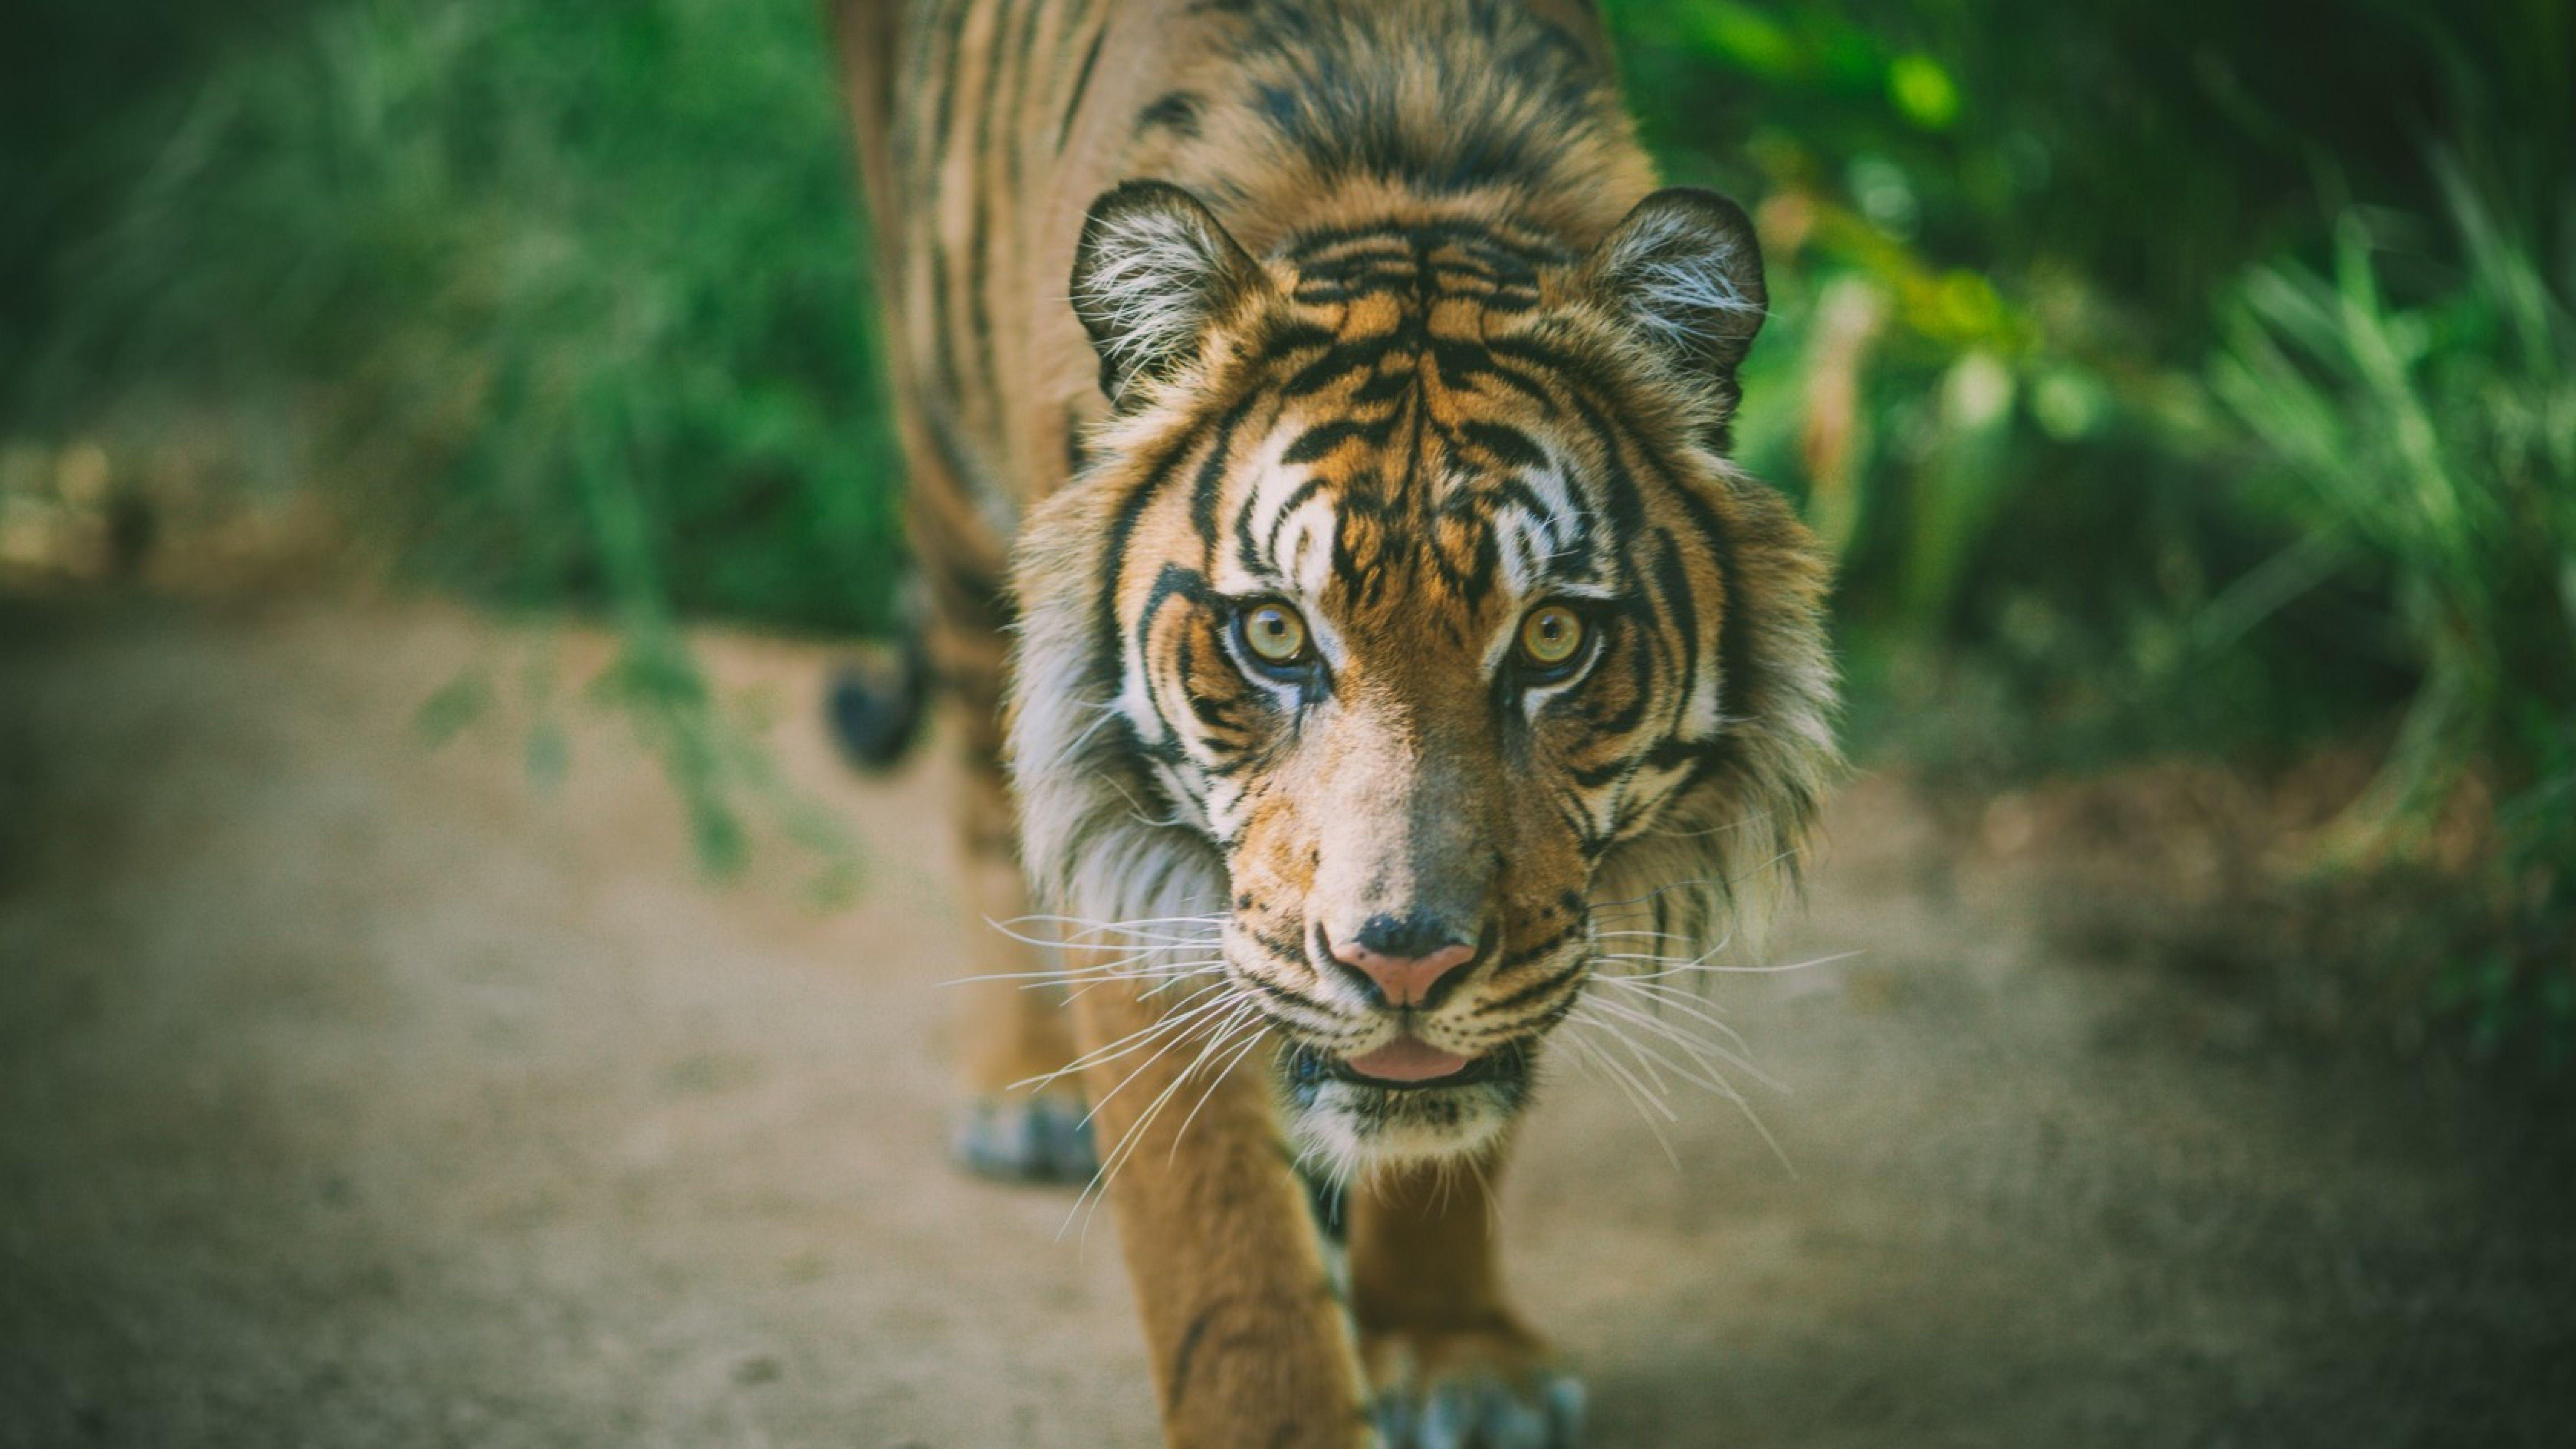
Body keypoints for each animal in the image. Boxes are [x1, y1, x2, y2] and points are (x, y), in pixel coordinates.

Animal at [823, 2, 1839, 1445]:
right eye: (1274, 634)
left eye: (1551, 638)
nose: (1403, 962)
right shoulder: (1145, 885)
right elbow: (1226, 1254)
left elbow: (1444, 1125)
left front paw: (1455, 1355)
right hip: (949, 474)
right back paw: (1027, 1092)